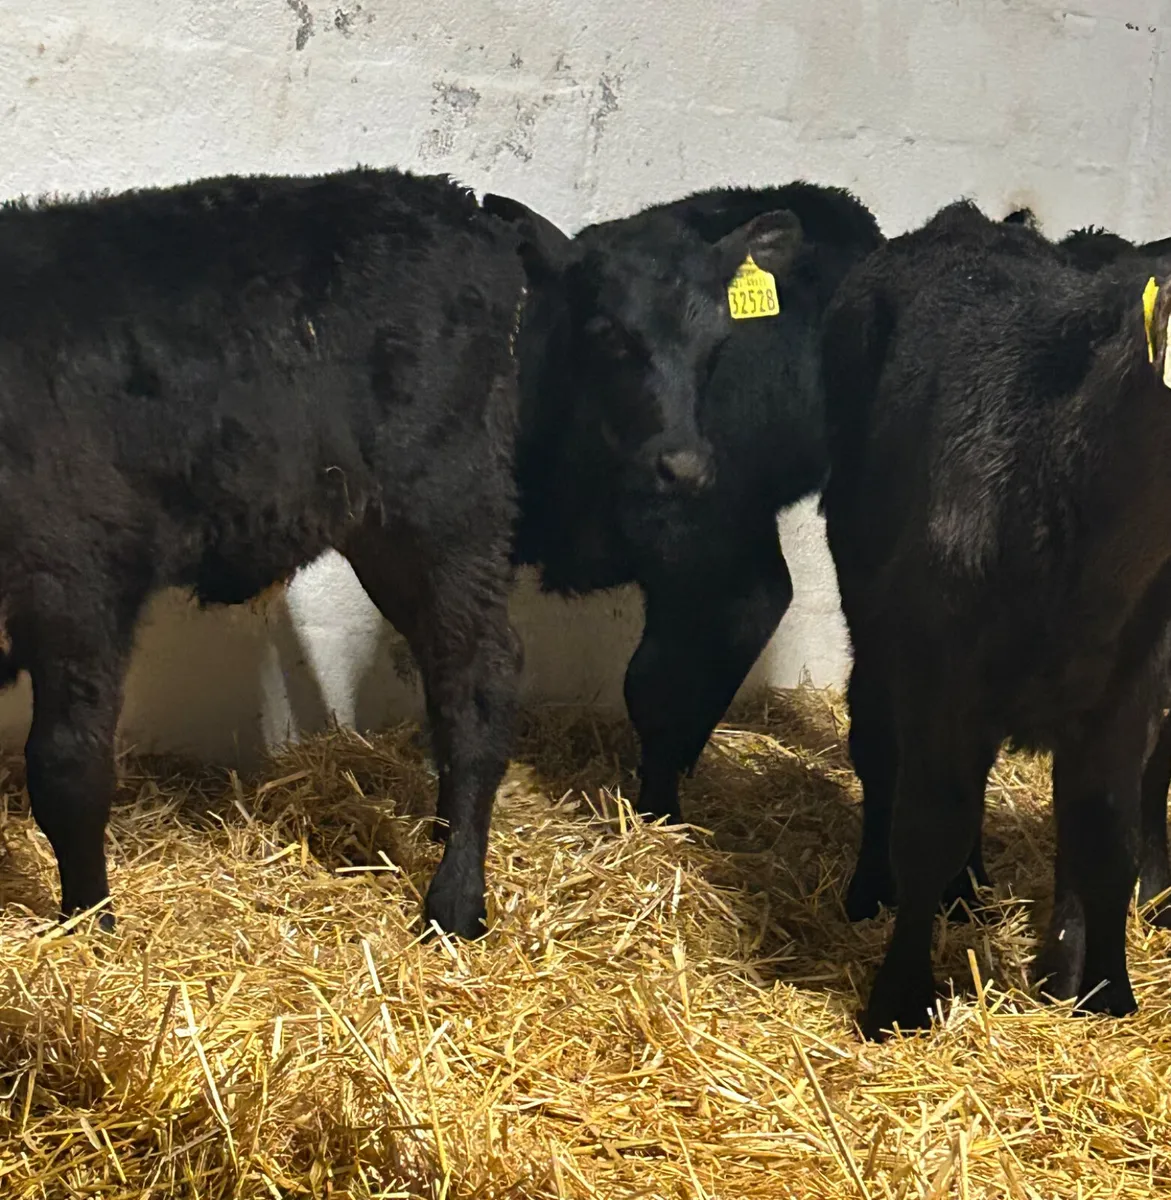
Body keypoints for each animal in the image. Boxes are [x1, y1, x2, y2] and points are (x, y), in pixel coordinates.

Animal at [484, 184, 883, 824]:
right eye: (607, 332)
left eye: (718, 344)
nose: (686, 467)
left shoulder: (708, 553)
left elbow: (655, 683)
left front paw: (658, 806)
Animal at [821, 200, 1171, 1039]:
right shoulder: (938, 669)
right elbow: (927, 825)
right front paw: (898, 1000)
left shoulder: (1130, 684)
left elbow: (1106, 835)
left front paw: (1105, 993)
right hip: (872, 619)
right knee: (876, 749)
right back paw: (874, 888)